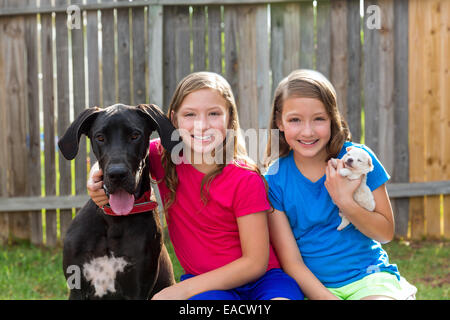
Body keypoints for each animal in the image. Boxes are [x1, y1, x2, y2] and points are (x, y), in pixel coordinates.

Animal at [58, 104, 179, 298]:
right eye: (100, 137)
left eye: (135, 135)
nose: (117, 174)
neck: (113, 221)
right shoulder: (76, 287)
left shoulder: (137, 288)